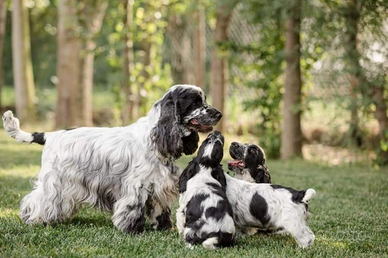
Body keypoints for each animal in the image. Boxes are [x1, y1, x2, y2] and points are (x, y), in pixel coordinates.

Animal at [2, 84, 221, 234]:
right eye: (195, 102)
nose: (218, 114)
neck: (153, 138)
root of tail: (49, 135)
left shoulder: (159, 185)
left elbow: (160, 209)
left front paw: (162, 227)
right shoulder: (136, 185)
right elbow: (132, 207)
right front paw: (133, 229)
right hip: (54, 181)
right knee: (37, 199)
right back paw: (35, 219)